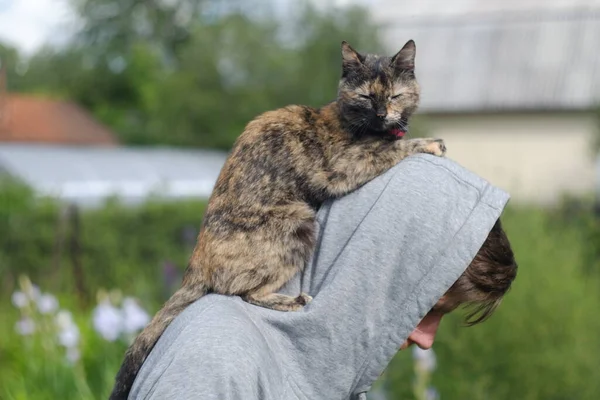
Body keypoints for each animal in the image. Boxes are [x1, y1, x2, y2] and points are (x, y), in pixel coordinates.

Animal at [110, 39, 446, 398]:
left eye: (395, 95)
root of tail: (195, 265)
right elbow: (395, 151)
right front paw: (431, 143)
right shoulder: (343, 168)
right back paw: (294, 300)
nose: (382, 114)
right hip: (299, 222)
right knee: (245, 293)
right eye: (367, 97)